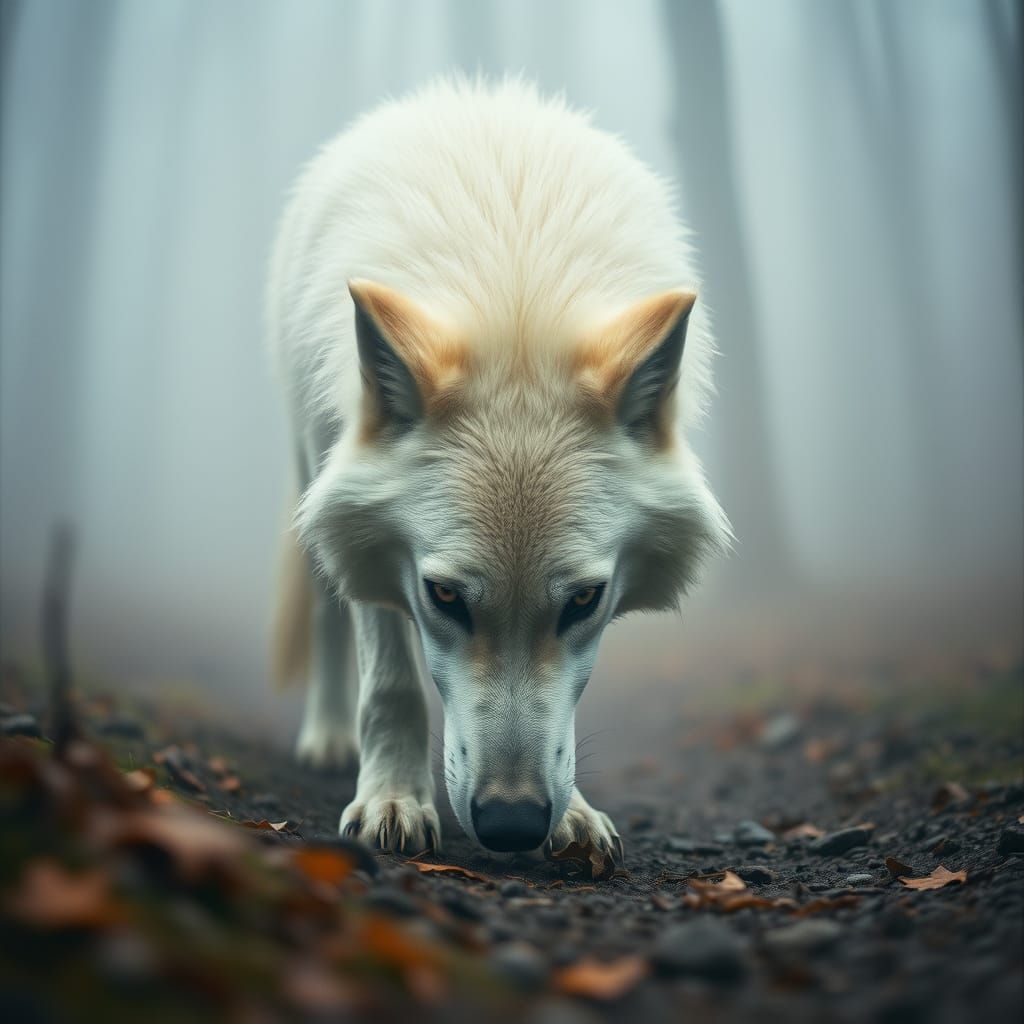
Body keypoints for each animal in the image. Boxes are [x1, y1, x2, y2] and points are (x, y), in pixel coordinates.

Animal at [267, 77, 730, 858]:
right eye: (446, 596)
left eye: (583, 601)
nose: (512, 823)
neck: (515, 284)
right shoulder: (368, 540)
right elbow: (389, 681)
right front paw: (393, 801)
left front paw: (574, 815)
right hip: (307, 466)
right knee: (330, 613)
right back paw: (327, 738)